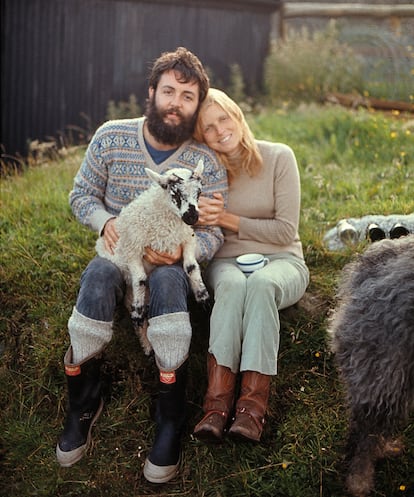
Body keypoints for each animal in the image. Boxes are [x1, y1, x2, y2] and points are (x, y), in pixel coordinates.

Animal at [95, 161, 209, 350]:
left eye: (199, 192)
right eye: (175, 193)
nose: (192, 217)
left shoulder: (187, 239)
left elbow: (191, 267)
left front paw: (203, 296)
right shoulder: (132, 248)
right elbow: (140, 279)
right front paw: (138, 311)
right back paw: (145, 337)